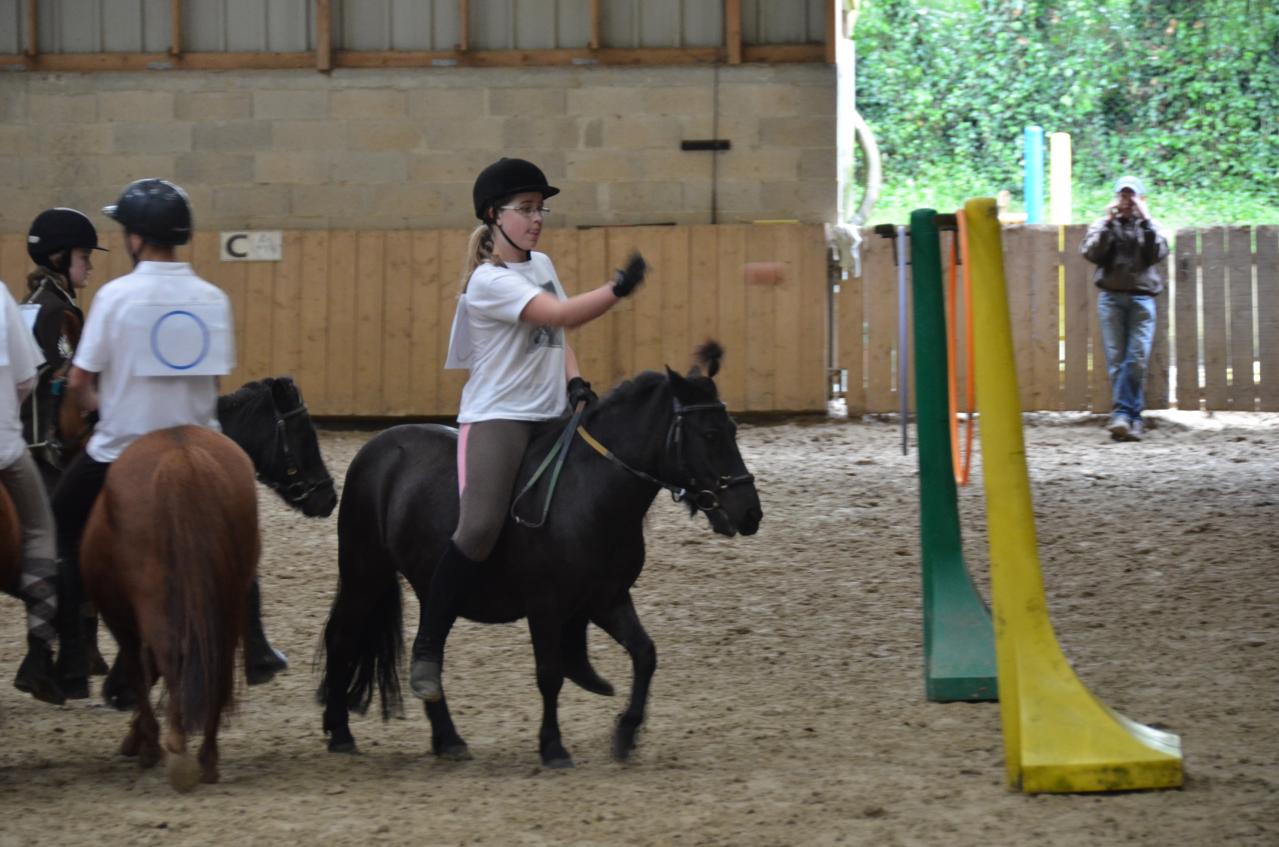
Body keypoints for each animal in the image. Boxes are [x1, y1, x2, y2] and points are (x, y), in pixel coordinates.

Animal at [79, 427, 259, 793]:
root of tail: (181, 455)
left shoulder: (122, 620)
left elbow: (138, 670)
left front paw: (146, 744)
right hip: (229, 600)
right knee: (217, 666)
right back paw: (207, 759)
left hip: (153, 602)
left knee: (169, 655)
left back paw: (177, 749)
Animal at [319, 342, 757, 767]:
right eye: (710, 435)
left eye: (733, 430)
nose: (751, 513)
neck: (592, 493)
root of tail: (378, 447)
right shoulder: (545, 603)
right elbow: (550, 674)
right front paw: (553, 746)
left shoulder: (608, 598)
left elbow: (645, 654)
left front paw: (626, 733)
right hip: (365, 573)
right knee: (343, 638)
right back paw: (341, 732)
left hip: (427, 585)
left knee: (430, 645)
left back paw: (448, 739)